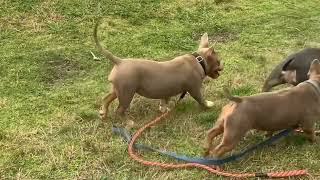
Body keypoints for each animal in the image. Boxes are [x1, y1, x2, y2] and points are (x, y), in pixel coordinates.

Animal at [93, 20, 222, 119]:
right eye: (219, 61)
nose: (222, 67)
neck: (198, 60)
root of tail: (120, 61)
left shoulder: (166, 90)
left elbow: (164, 101)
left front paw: (163, 110)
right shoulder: (194, 89)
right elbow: (201, 99)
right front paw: (208, 105)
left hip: (118, 89)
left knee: (106, 99)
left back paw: (103, 113)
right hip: (126, 93)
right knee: (119, 110)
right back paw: (127, 121)